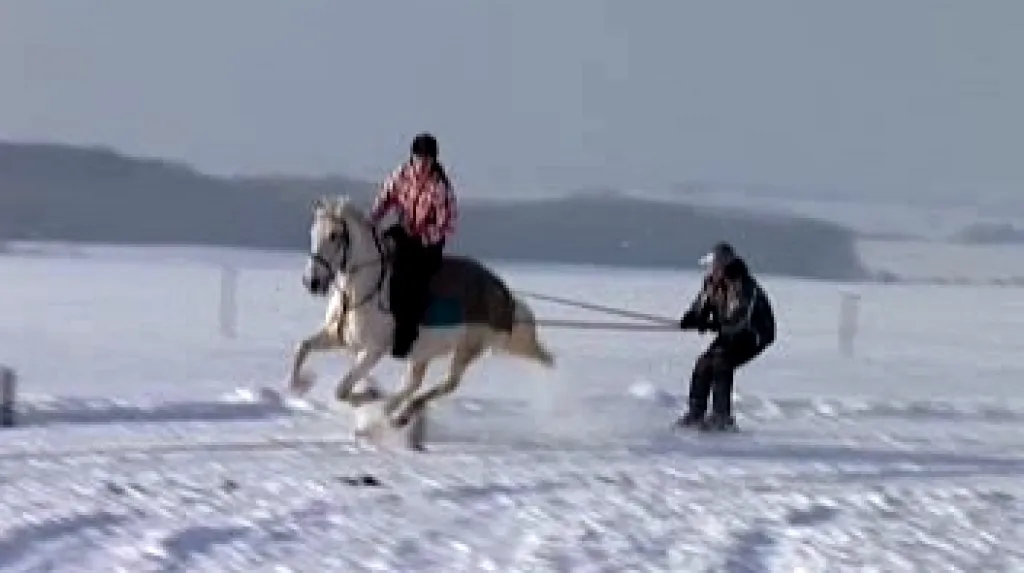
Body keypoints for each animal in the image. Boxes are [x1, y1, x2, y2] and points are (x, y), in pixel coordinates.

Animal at [293, 195, 556, 429]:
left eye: (334, 236)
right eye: (313, 233)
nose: (312, 282)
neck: (365, 289)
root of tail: (503, 292)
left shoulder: (372, 351)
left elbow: (342, 389)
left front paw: (369, 396)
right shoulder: (337, 337)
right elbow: (302, 347)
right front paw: (298, 385)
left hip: (466, 349)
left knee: (447, 384)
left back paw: (399, 414)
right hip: (424, 353)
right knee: (413, 384)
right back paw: (393, 413)